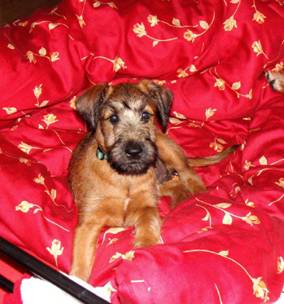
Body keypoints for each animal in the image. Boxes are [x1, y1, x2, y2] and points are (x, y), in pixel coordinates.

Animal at [68, 80, 233, 280]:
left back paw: (200, 197)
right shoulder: (89, 221)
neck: (124, 177)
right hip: (160, 180)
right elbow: (81, 259)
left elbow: (148, 223)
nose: (134, 151)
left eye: (145, 115)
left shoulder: (147, 206)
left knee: (189, 174)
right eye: (113, 118)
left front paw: (144, 249)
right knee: (176, 185)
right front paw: (78, 276)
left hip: (166, 149)